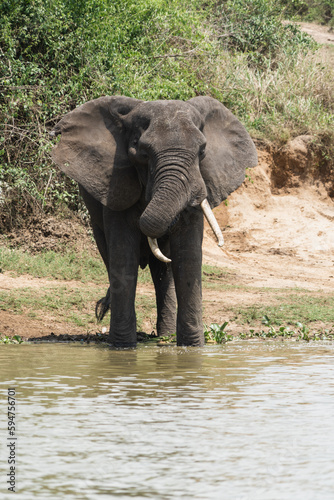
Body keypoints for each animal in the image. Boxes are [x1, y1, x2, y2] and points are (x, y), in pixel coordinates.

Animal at [50, 96, 258, 348]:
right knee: (112, 258)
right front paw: (122, 347)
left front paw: (192, 348)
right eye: (143, 153)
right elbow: (123, 256)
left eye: (202, 151)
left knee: (164, 270)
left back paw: (166, 336)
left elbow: (187, 256)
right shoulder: (116, 185)